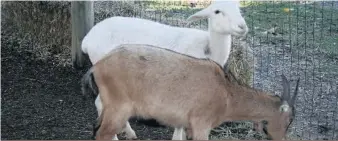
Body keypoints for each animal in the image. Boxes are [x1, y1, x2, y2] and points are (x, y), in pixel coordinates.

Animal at [80, 0, 247, 139]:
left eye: (239, 8)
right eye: (217, 11)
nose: (242, 26)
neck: (208, 48)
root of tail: (87, 39)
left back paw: (128, 132)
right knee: (100, 104)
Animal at [82, 43, 302, 140]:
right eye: (289, 120)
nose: (281, 138)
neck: (227, 94)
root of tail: (98, 67)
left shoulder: (189, 126)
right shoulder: (201, 124)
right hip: (119, 107)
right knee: (103, 133)